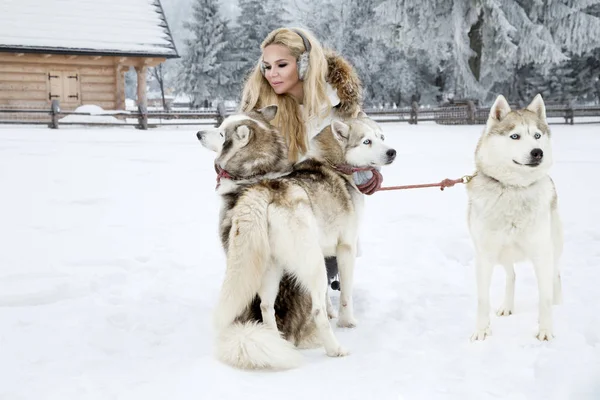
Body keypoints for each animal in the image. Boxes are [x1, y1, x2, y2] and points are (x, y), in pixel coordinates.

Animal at [196, 105, 394, 368]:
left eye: (382, 137)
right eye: (367, 141)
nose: (392, 152)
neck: (336, 164)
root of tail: (266, 191)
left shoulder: (326, 250)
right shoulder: (346, 248)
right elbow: (345, 293)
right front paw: (347, 321)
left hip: (273, 268)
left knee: (266, 306)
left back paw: (277, 342)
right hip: (312, 265)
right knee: (317, 311)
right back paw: (335, 349)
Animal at [468, 94, 564, 340]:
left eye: (537, 135)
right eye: (515, 136)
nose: (537, 152)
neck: (513, 189)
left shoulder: (541, 253)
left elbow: (544, 298)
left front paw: (545, 330)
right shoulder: (484, 256)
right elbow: (482, 299)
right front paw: (481, 331)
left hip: (553, 247)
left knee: (555, 276)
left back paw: (558, 303)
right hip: (503, 254)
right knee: (511, 275)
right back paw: (507, 306)